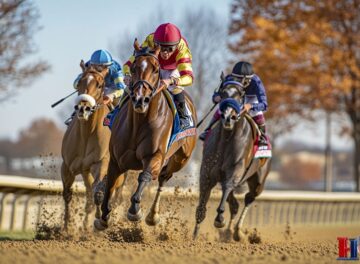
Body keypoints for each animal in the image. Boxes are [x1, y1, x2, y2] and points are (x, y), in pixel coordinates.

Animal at [60, 60, 125, 230]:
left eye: (100, 85)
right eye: (79, 82)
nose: (83, 108)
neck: (87, 133)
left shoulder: (101, 162)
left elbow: (99, 192)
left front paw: (100, 219)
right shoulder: (67, 166)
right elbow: (67, 194)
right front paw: (66, 228)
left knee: (114, 195)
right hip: (85, 171)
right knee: (90, 195)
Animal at [93, 40, 197, 230]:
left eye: (156, 69)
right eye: (134, 68)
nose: (140, 100)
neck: (139, 123)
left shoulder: (154, 157)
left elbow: (145, 177)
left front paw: (135, 210)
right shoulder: (116, 161)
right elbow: (110, 186)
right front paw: (103, 217)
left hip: (179, 159)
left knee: (162, 179)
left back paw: (152, 216)